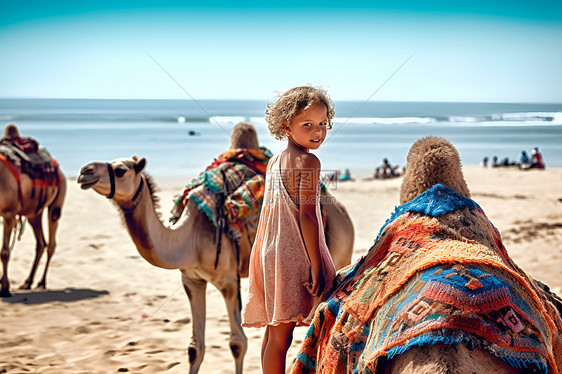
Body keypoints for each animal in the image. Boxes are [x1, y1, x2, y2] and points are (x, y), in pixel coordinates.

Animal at [0, 125, 66, 298]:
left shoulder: (9, 214)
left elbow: (5, 252)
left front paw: (5, 289)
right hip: (34, 212)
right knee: (41, 243)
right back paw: (27, 282)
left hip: (56, 203)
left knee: (51, 243)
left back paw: (41, 282)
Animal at [76, 122, 352, 374]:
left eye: (120, 170)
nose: (84, 171)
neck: (190, 238)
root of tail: (344, 213)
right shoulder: (191, 280)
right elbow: (194, 348)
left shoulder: (228, 280)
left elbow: (237, 343)